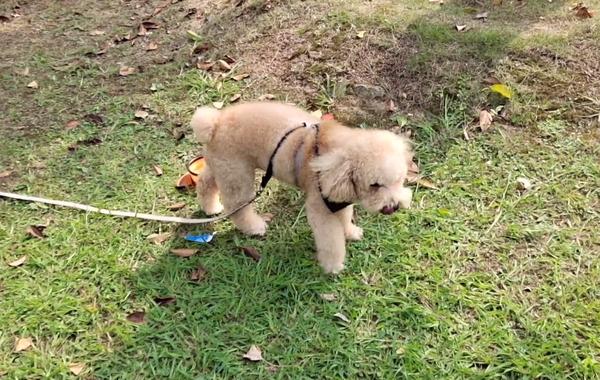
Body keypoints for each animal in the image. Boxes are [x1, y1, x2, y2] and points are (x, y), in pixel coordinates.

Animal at [191, 101, 412, 274]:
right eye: (375, 185)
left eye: (398, 181)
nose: (393, 207)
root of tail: (215, 122)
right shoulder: (321, 207)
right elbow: (331, 240)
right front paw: (333, 266)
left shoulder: (339, 199)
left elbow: (345, 218)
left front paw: (351, 233)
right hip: (237, 174)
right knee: (237, 206)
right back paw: (254, 227)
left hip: (223, 166)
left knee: (205, 182)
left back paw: (211, 207)